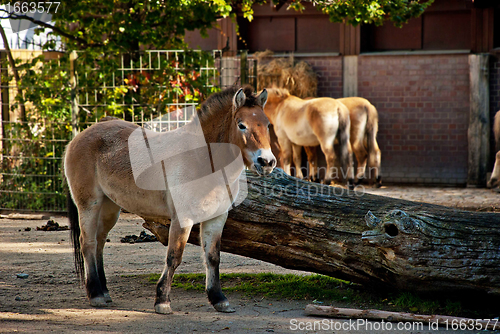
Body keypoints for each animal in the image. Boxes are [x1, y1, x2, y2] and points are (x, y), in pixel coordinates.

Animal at [64, 85, 276, 314]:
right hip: (89, 204)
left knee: (100, 242)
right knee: (88, 242)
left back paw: (104, 291)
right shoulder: (182, 219)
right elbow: (174, 257)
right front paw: (162, 301)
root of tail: (80, 136)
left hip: (110, 207)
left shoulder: (217, 218)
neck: (202, 159)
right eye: (241, 125)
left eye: (267, 124)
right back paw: (95, 295)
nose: (267, 162)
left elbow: (212, 257)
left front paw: (219, 299)